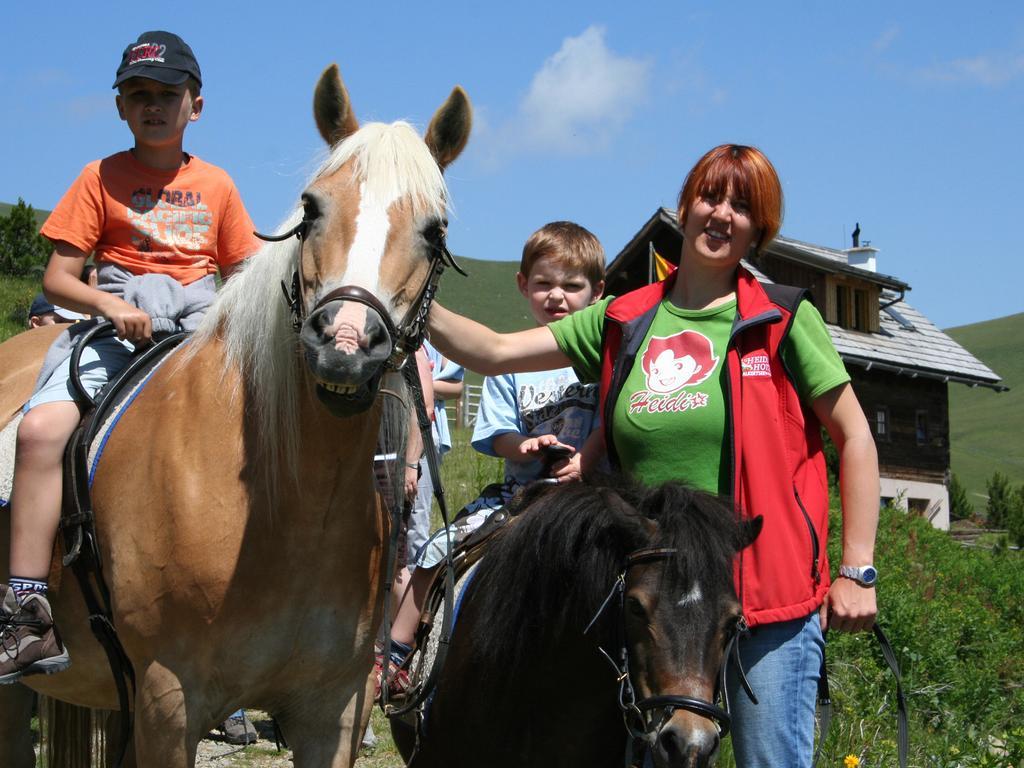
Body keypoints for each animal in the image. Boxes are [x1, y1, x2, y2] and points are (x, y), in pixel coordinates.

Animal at [0, 66, 471, 768]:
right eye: (311, 208)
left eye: (434, 231)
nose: (345, 344)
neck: (289, 510)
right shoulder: (168, 703)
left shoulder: (334, 711)